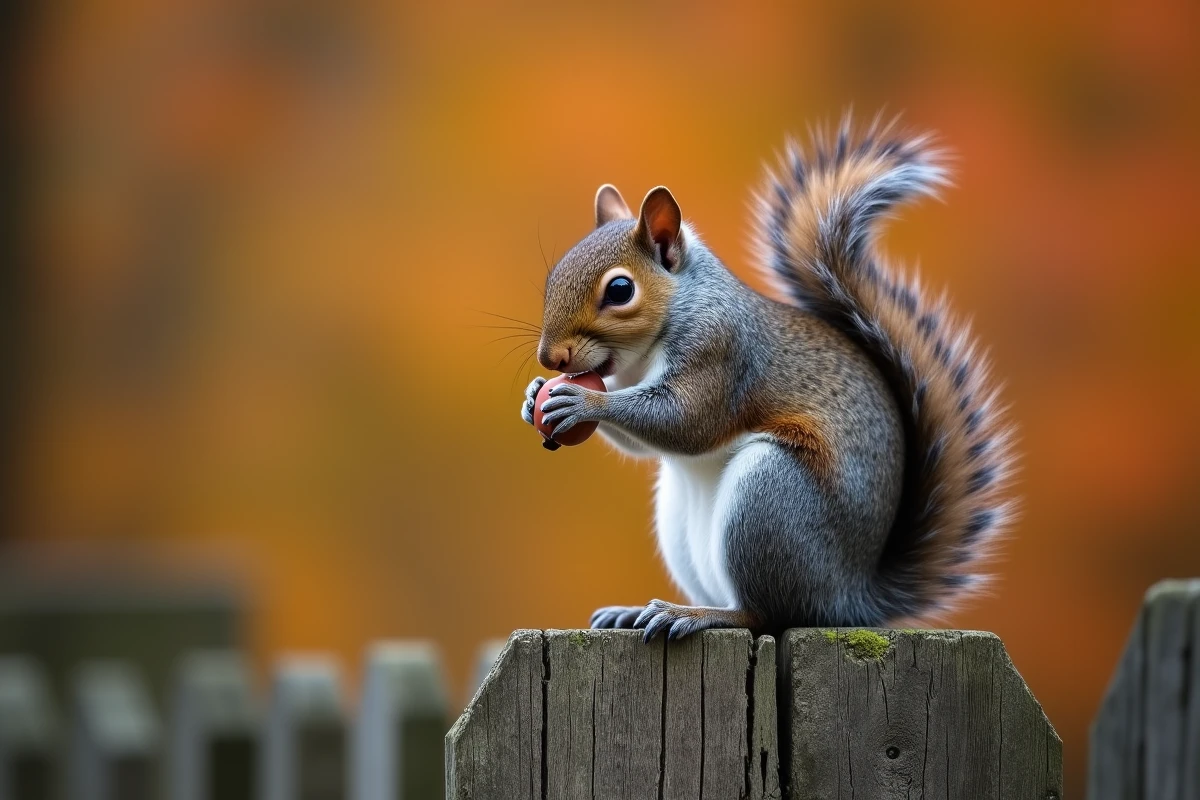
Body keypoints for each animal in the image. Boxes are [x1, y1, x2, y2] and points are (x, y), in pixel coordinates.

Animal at [519, 117, 1015, 640]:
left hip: (769, 501)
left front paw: (583, 403)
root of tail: (849, 598)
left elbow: (686, 421)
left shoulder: (721, 351)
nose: (550, 357)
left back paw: (697, 615)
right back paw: (638, 612)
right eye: (554, 275)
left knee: (766, 615)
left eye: (619, 290)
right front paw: (533, 396)